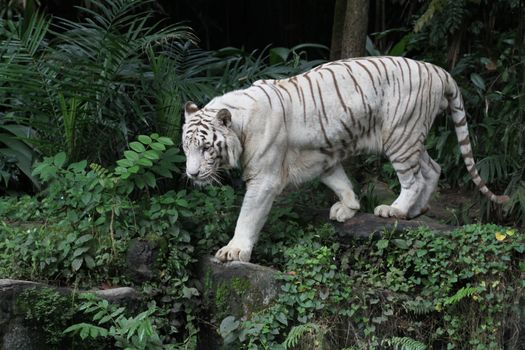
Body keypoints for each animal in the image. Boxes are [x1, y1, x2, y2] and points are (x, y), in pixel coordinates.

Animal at [181, 56, 508, 262]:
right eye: (186, 149)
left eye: (207, 148)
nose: (192, 175)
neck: (241, 126)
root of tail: (440, 71)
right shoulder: (320, 154)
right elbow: (340, 181)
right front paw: (349, 207)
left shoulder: (265, 179)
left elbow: (248, 216)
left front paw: (234, 251)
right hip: (410, 136)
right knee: (432, 167)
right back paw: (414, 212)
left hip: (400, 134)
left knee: (413, 178)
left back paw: (395, 209)